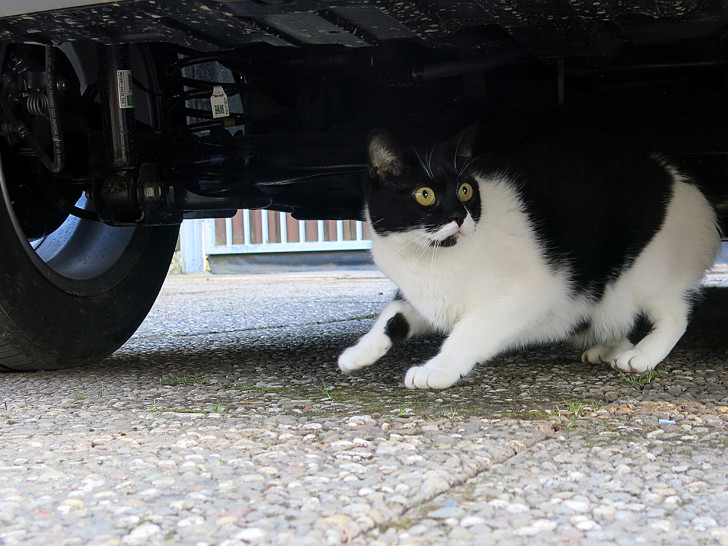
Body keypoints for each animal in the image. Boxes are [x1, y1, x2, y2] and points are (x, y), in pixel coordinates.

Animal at [336, 126, 724, 386]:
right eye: (425, 194)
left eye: (466, 190)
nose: (460, 216)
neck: (427, 258)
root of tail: (681, 177)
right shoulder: (422, 295)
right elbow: (392, 317)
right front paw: (358, 353)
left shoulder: (523, 294)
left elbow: (468, 332)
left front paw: (438, 369)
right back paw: (610, 347)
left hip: (647, 271)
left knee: (676, 313)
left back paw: (642, 355)